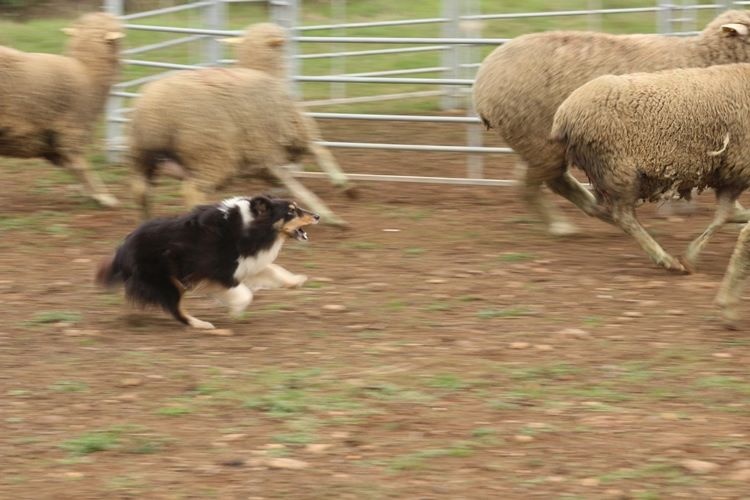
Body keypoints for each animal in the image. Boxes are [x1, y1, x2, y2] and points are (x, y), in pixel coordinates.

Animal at [0, 12, 123, 207]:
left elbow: (72, 166)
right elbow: (81, 165)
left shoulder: (51, 140)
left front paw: (90, 193)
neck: (87, 70)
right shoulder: (71, 130)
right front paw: (104, 196)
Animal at [95, 194, 318, 328]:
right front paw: (236, 312)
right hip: (164, 280)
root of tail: (122, 248)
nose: (317, 216)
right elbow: (245, 294)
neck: (251, 226)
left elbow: (273, 270)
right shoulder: (218, 271)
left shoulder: (244, 264)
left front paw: (295, 281)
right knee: (176, 309)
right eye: (291, 211)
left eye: (296, 207)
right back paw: (200, 324)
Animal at [129, 22, 352, 226]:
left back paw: (144, 221)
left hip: (142, 153)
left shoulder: (266, 158)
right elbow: (320, 152)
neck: (262, 70)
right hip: (211, 154)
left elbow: (291, 183)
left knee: (140, 190)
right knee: (192, 191)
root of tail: (158, 110)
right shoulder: (293, 133)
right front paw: (342, 195)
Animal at [472, 9, 750, 236]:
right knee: (535, 183)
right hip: (538, 140)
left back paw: (592, 209)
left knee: (546, 180)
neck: (703, 56)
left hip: (538, 143)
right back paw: (562, 225)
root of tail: (482, 79)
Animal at [548, 62, 750, 274]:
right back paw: (665, 259)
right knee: (624, 217)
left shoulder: (731, 174)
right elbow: (724, 216)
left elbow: (727, 215)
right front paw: (690, 257)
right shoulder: (737, 168)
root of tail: (563, 115)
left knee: (567, 186)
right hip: (618, 168)